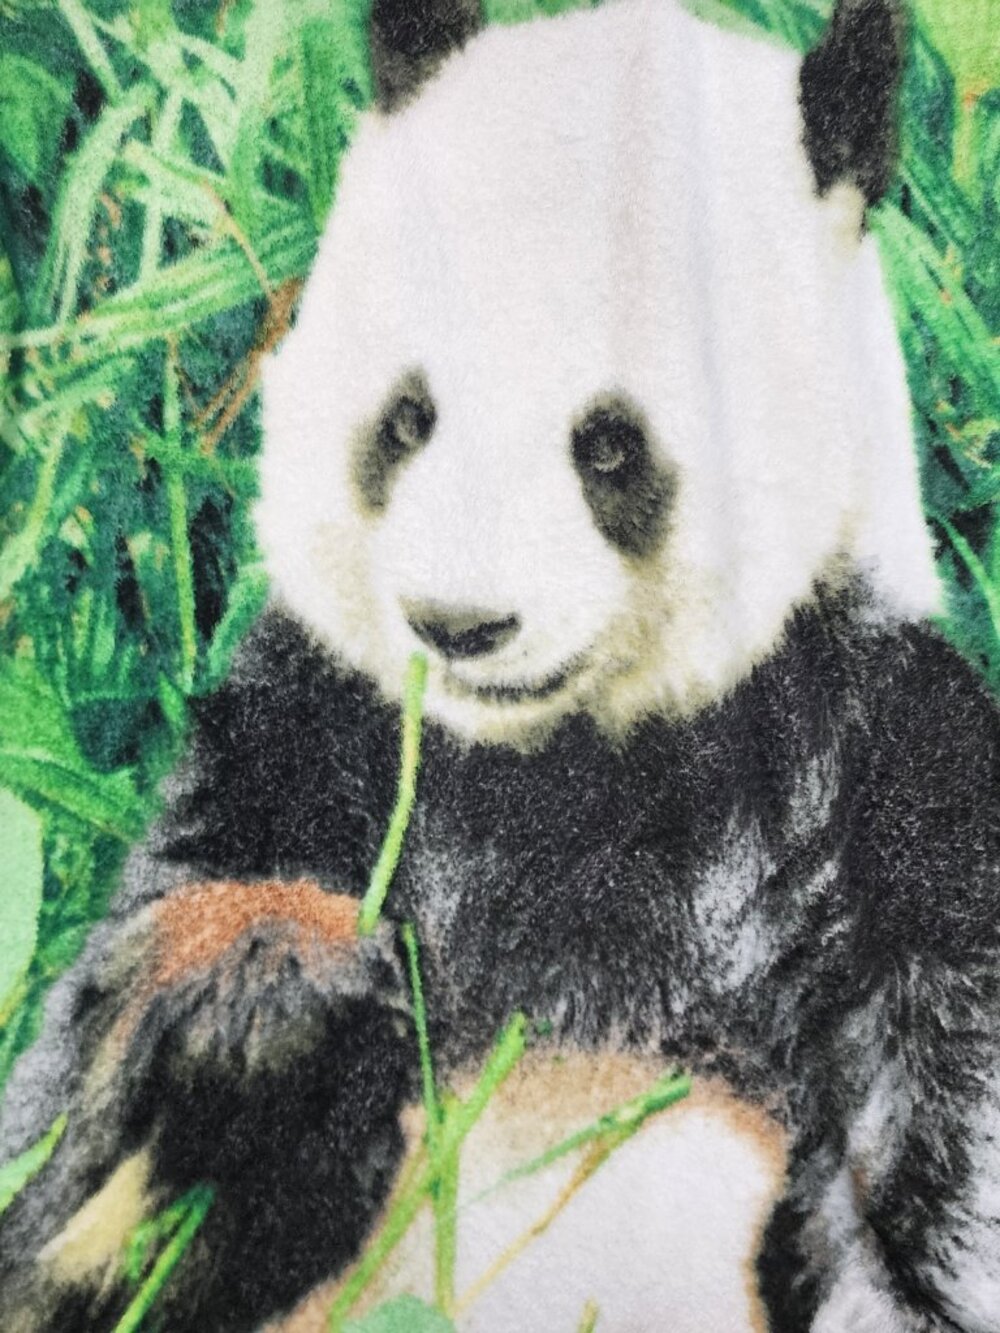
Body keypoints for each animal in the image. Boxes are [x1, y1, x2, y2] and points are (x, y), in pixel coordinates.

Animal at [2, 0, 1000, 1330]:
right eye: (408, 418)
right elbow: (58, 1166)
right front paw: (263, 1006)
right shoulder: (300, 745)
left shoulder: (885, 762)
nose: (458, 624)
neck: (554, 766)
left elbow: (947, 1108)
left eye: (610, 446)